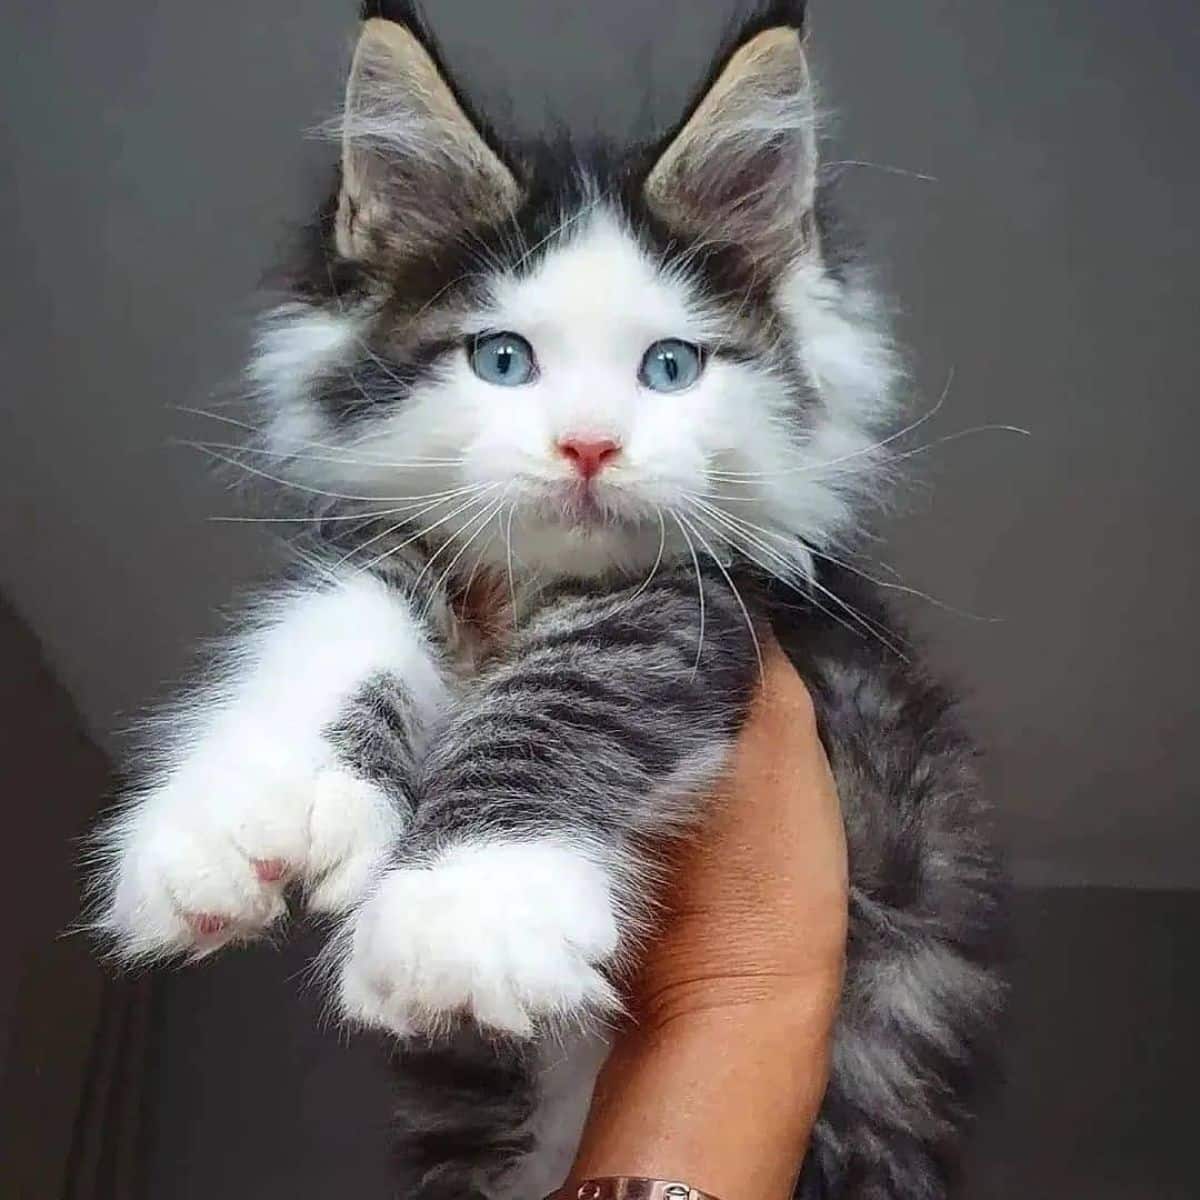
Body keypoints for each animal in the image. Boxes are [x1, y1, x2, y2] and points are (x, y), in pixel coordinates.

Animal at [88, 2, 1003, 1200]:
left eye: (671, 368)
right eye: (502, 358)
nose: (588, 445)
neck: (533, 586)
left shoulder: (730, 611)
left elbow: (567, 691)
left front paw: (471, 903)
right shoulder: (405, 546)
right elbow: (337, 619)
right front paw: (239, 814)